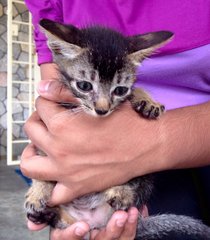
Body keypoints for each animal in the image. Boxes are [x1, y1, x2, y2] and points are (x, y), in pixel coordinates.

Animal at [24, 19, 210, 239]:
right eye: (84, 86)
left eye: (120, 89)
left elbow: (135, 91)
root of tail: (93, 222)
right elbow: (42, 161)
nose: (102, 110)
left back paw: (122, 192)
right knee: (62, 221)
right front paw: (37, 192)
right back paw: (46, 214)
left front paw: (147, 101)